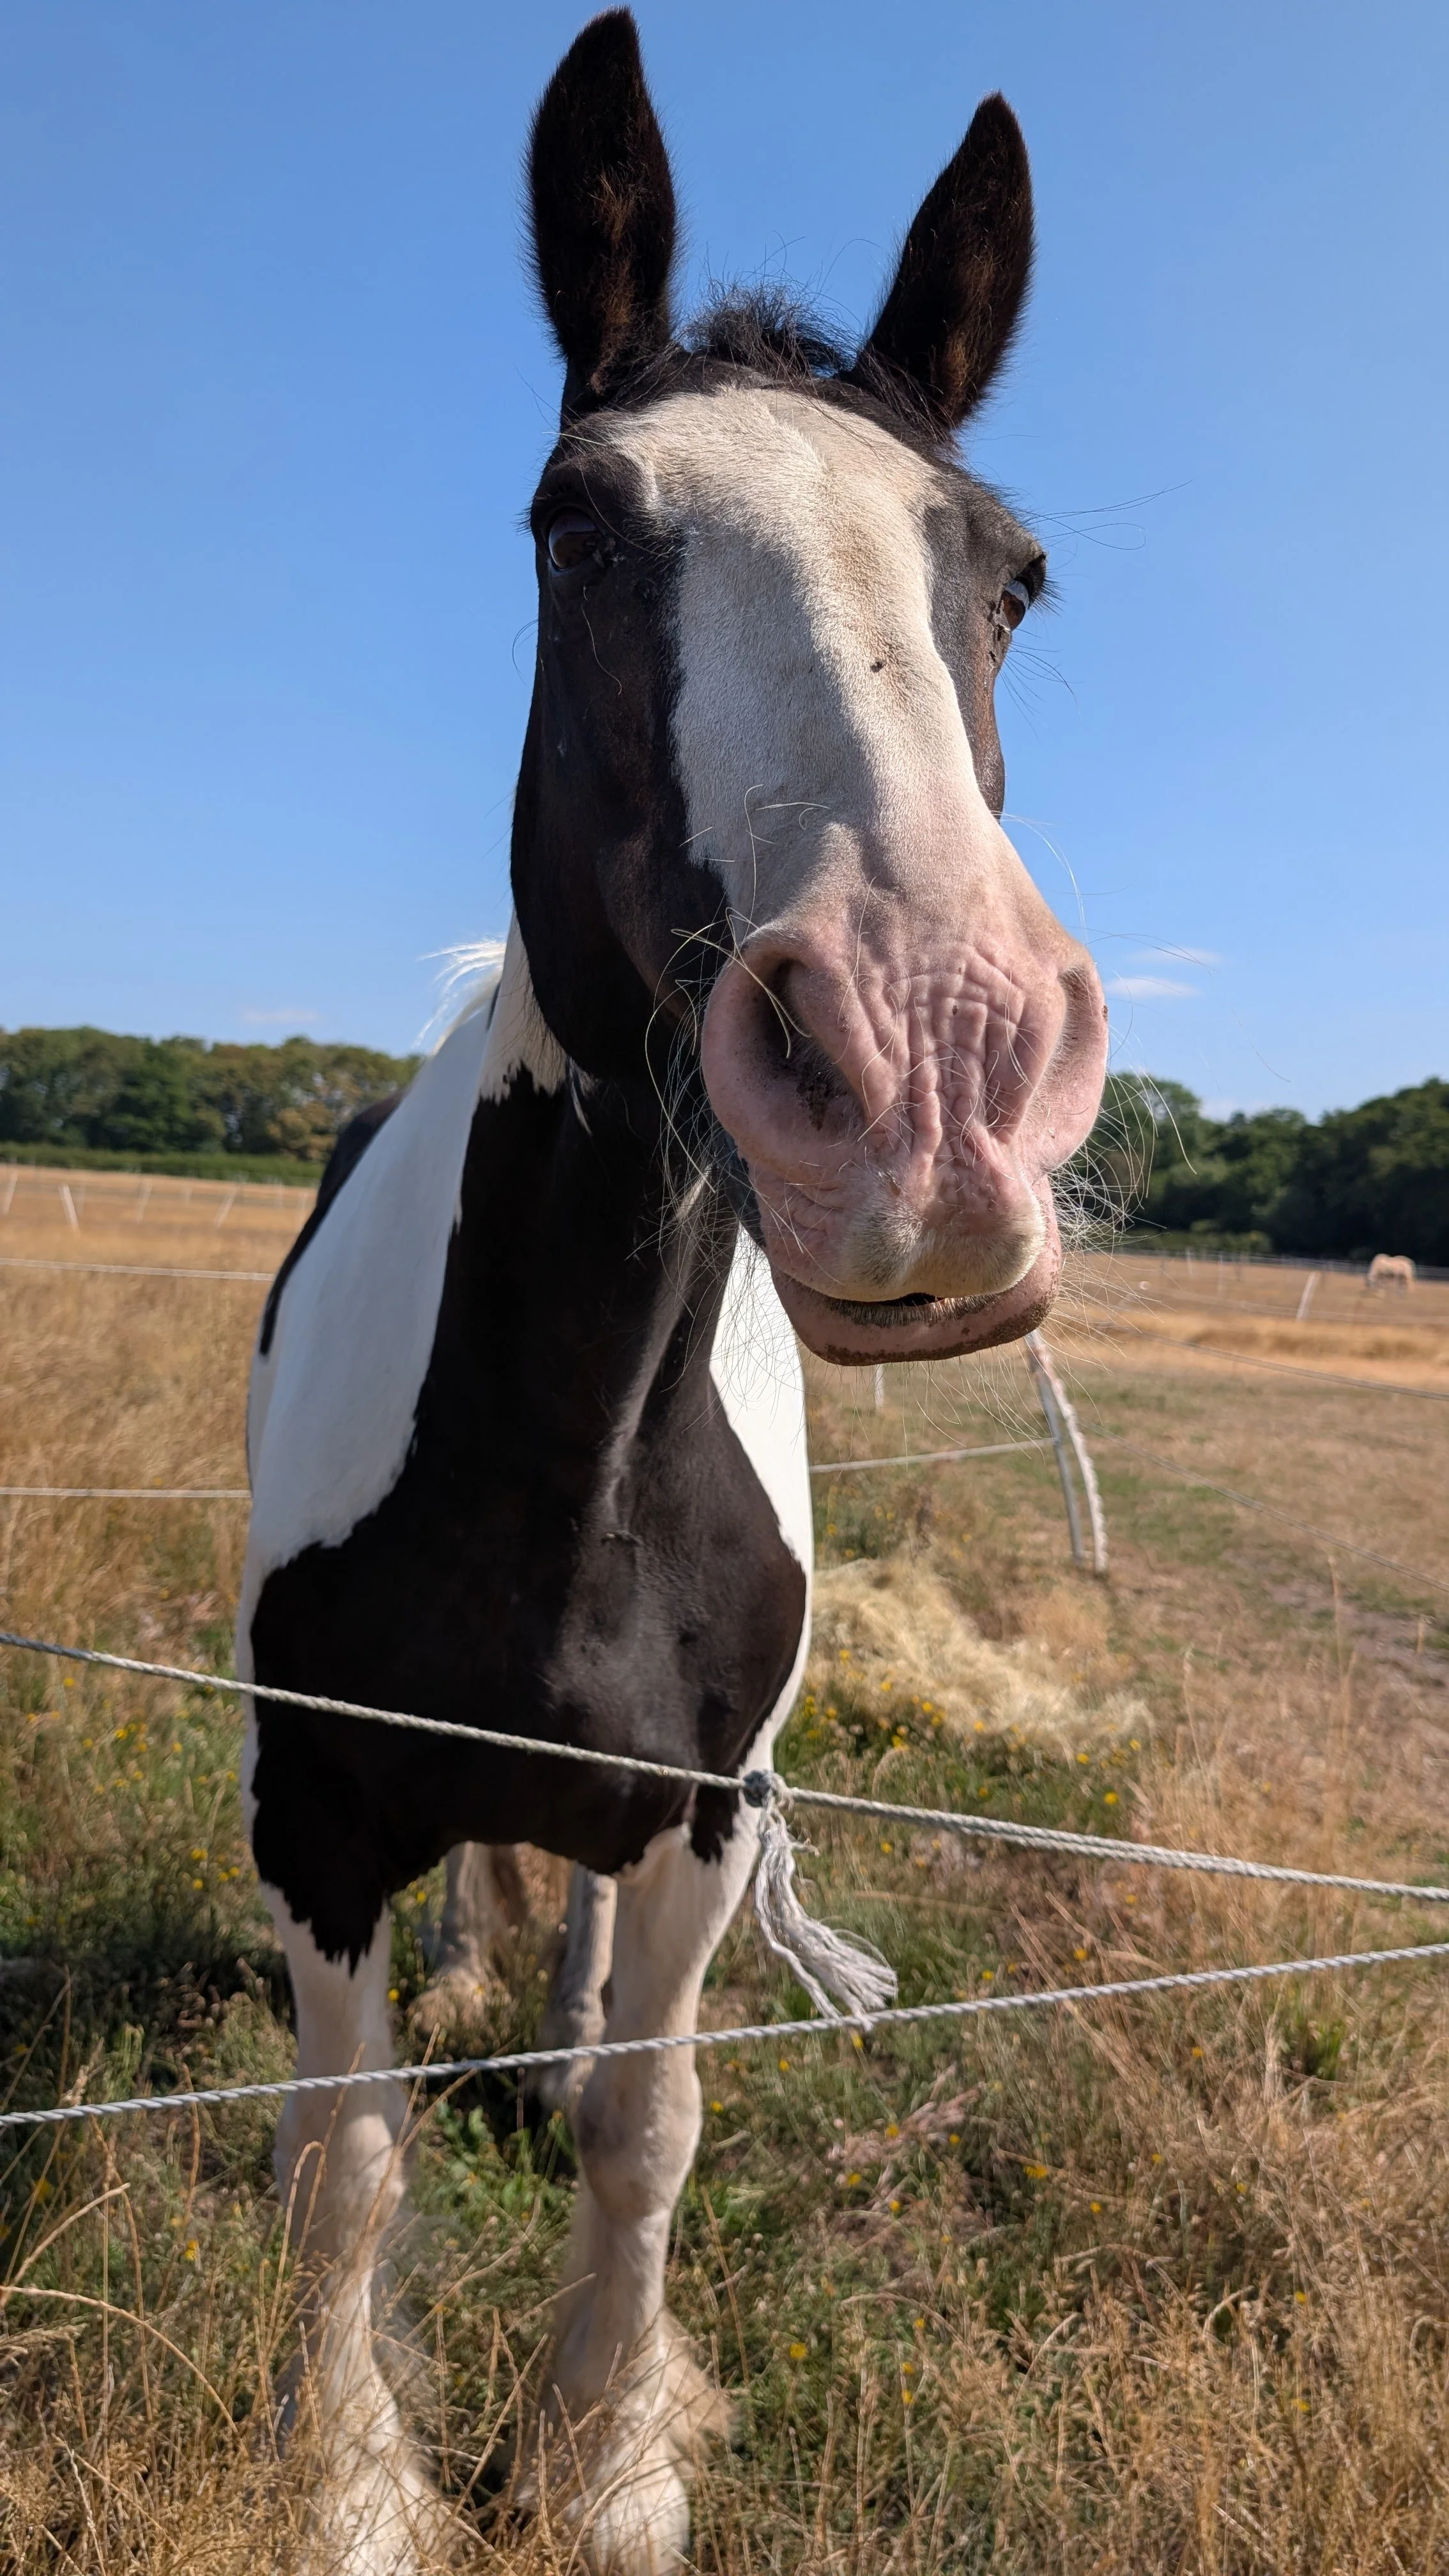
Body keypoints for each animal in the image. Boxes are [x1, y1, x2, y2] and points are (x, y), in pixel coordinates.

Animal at [238, 13, 1109, 2568]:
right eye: (573, 521)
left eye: (1012, 574)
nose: (930, 1077)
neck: (573, 1440)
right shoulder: (315, 1807)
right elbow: (343, 2165)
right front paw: (355, 2478)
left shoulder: (712, 1812)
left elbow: (653, 2131)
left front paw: (606, 2456)